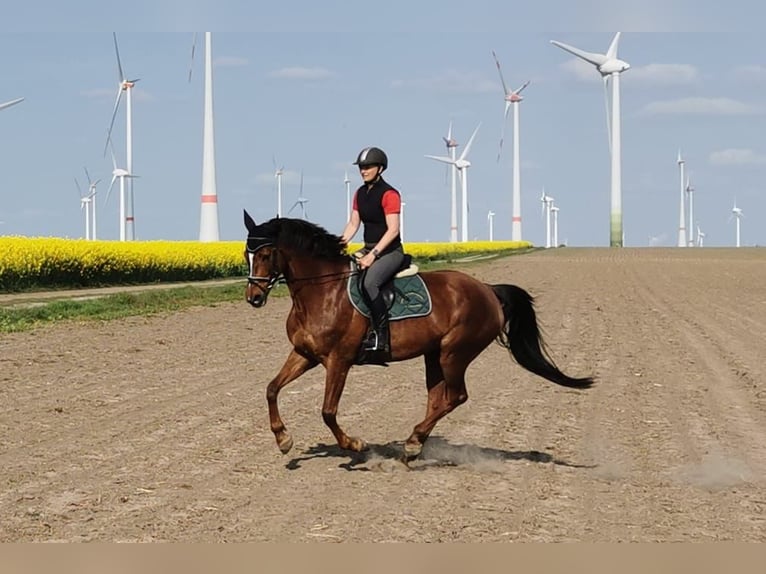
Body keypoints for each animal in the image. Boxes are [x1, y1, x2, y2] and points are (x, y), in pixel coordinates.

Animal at [243, 211, 594, 462]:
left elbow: (328, 411)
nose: (253, 297)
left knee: (456, 396)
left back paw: (412, 442)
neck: (322, 292)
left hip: (454, 353)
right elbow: (271, 389)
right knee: (437, 398)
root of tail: (488, 290)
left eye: (266, 254)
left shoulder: (339, 360)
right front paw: (283, 439)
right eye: (247, 254)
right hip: (434, 355)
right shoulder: (305, 355)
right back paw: (416, 443)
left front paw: (355, 444)